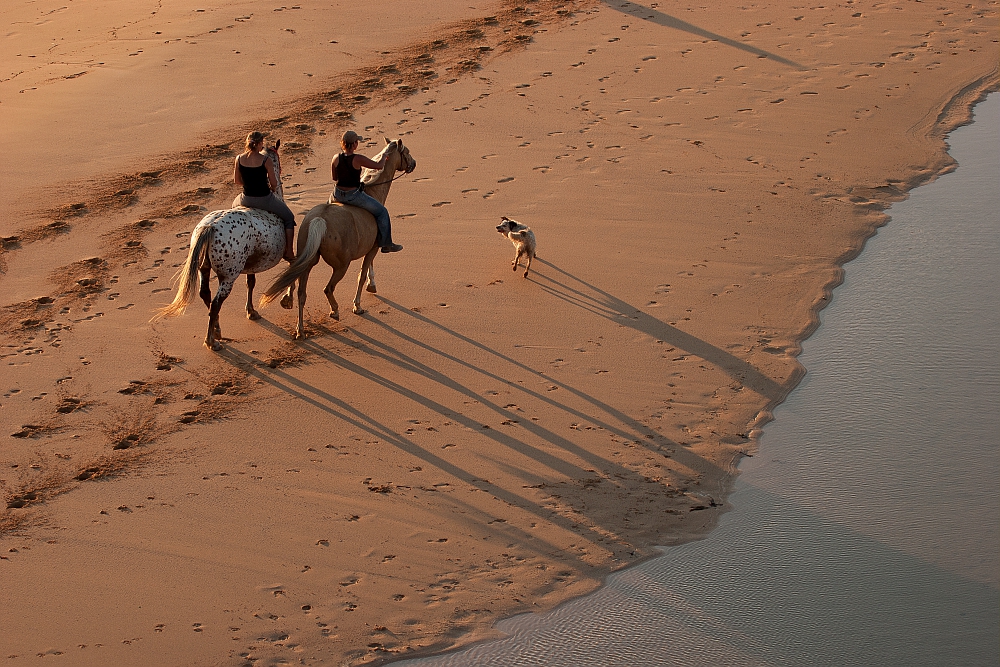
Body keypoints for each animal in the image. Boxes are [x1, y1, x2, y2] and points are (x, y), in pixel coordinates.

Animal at [153, 140, 295, 350]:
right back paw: (211, 341)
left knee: (206, 296)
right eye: (278, 159)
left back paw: (217, 330)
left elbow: (251, 283)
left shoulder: (251, 265)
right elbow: (293, 269)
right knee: (215, 304)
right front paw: (287, 300)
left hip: (205, 269)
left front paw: (251, 311)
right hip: (228, 277)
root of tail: (209, 227)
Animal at [259, 137, 416, 339]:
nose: (413, 163)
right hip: (341, 266)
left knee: (302, 292)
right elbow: (362, 274)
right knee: (328, 288)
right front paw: (359, 304)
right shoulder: (373, 248)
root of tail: (320, 220)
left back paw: (299, 328)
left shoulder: (369, 247)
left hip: (308, 262)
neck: (373, 191)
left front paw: (371, 286)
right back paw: (334, 310)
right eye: (407, 152)